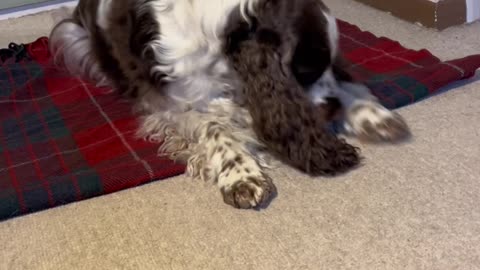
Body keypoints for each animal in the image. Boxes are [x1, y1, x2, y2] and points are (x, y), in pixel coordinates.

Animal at [49, 0, 408, 209]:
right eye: (305, 71)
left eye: (327, 64)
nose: (331, 110)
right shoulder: (174, 105)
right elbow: (215, 129)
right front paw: (242, 175)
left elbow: (348, 83)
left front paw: (371, 114)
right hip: (71, 38)